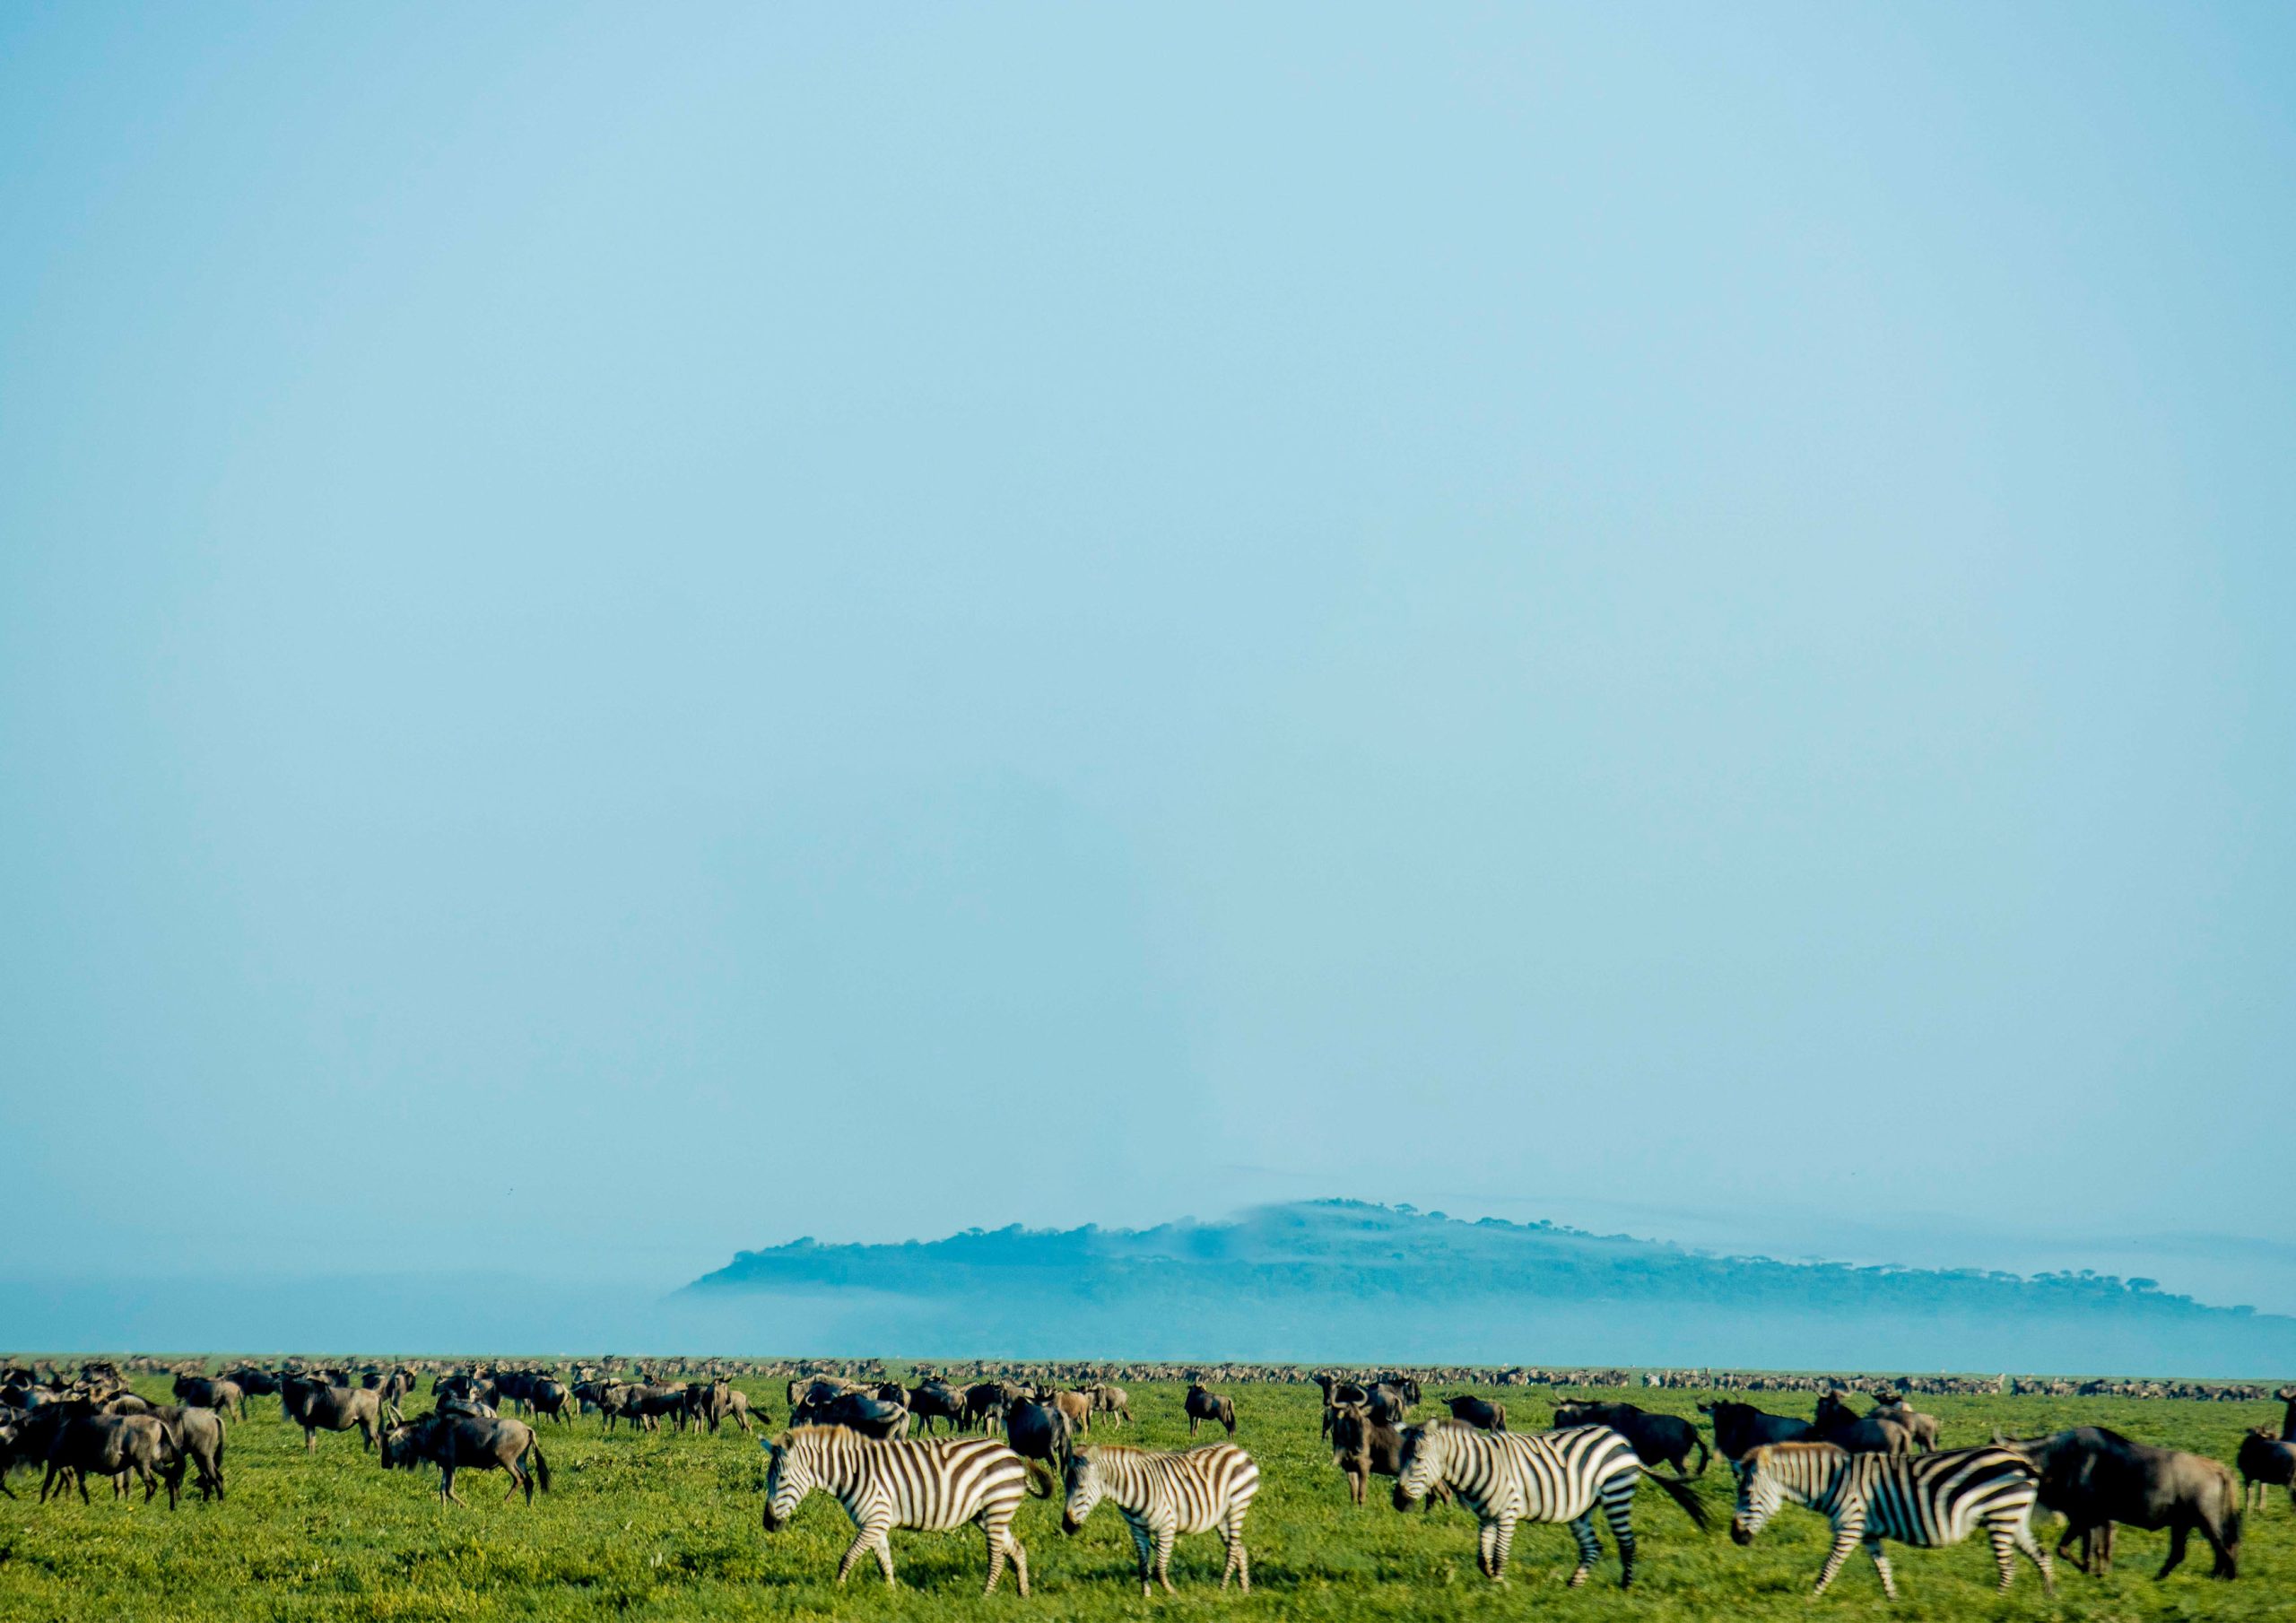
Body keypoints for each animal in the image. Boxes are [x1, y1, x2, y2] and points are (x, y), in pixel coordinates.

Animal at [767, 1432, 1060, 1597]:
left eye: (781, 1479)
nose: (768, 1524)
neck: (850, 1472)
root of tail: (1013, 1455)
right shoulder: (875, 1522)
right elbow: (884, 1562)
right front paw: (892, 1595)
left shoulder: (874, 1519)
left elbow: (847, 1557)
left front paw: (837, 1590)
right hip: (988, 1514)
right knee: (1017, 1549)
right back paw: (1023, 1595)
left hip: (998, 1506)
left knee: (997, 1557)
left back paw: (985, 1595)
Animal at [1056, 1441, 1257, 1597]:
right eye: (1065, 1486)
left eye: (1081, 1488)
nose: (1067, 1526)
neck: (1130, 1491)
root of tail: (1236, 1449)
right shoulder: (1137, 1530)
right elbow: (1143, 1565)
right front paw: (1146, 1596)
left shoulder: (1166, 1527)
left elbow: (1159, 1567)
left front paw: (1172, 1594)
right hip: (1222, 1518)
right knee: (1239, 1549)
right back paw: (1244, 1589)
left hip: (1236, 1508)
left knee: (1232, 1551)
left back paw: (1222, 1588)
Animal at [1378, 1423, 1708, 1588]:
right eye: (1402, 1457)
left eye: (1418, 1459)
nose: (1398, 1501)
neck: (1478, 1466)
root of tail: (1621, 1440)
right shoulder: (1486, 1515)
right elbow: (1482, 1556)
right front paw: (1490, 1577)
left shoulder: (1508, 1511)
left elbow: (1500, 1553)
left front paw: (1498, 1586)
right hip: (1582, 1509)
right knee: (1593, 1547)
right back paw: (1574, 1584)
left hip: (1617, 1493)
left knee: (1627, 1543)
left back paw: (1625, 1585)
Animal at [1726, 1432, 2057, 1597]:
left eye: (1746, 1494)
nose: (1735, 1536)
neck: (1833, 1481)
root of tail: (2021, 1460)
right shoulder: (1868, 1533)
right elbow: (1883, 1568)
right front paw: (1893, 1601)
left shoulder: (1849, 1526)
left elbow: (1829, 1566)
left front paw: (1811, 1598)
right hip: (2013, 1518)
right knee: (2042, 1555)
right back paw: (2049, 1599)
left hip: (2001, 1516)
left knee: (2008, 1567)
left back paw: (1997, 1601)